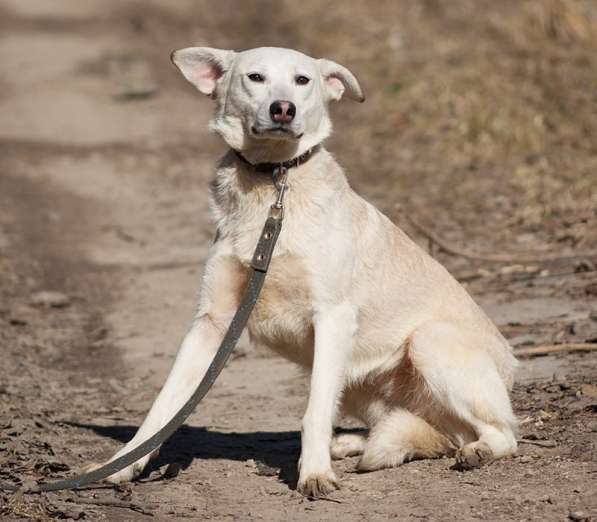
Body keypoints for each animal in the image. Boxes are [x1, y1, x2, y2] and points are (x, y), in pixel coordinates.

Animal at [96, 45, 516, 496]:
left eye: (303, 80)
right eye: (255, 77)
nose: (283, 109)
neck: (273, 184)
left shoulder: (332, 317)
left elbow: (313, 411)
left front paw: (313, 474)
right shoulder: (211, 323)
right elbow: (162, 409)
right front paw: (121, 466)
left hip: (426, 342)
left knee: (502, 433)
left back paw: (477, 452)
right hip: (358, 382)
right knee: (426, 431)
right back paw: (348, 444)